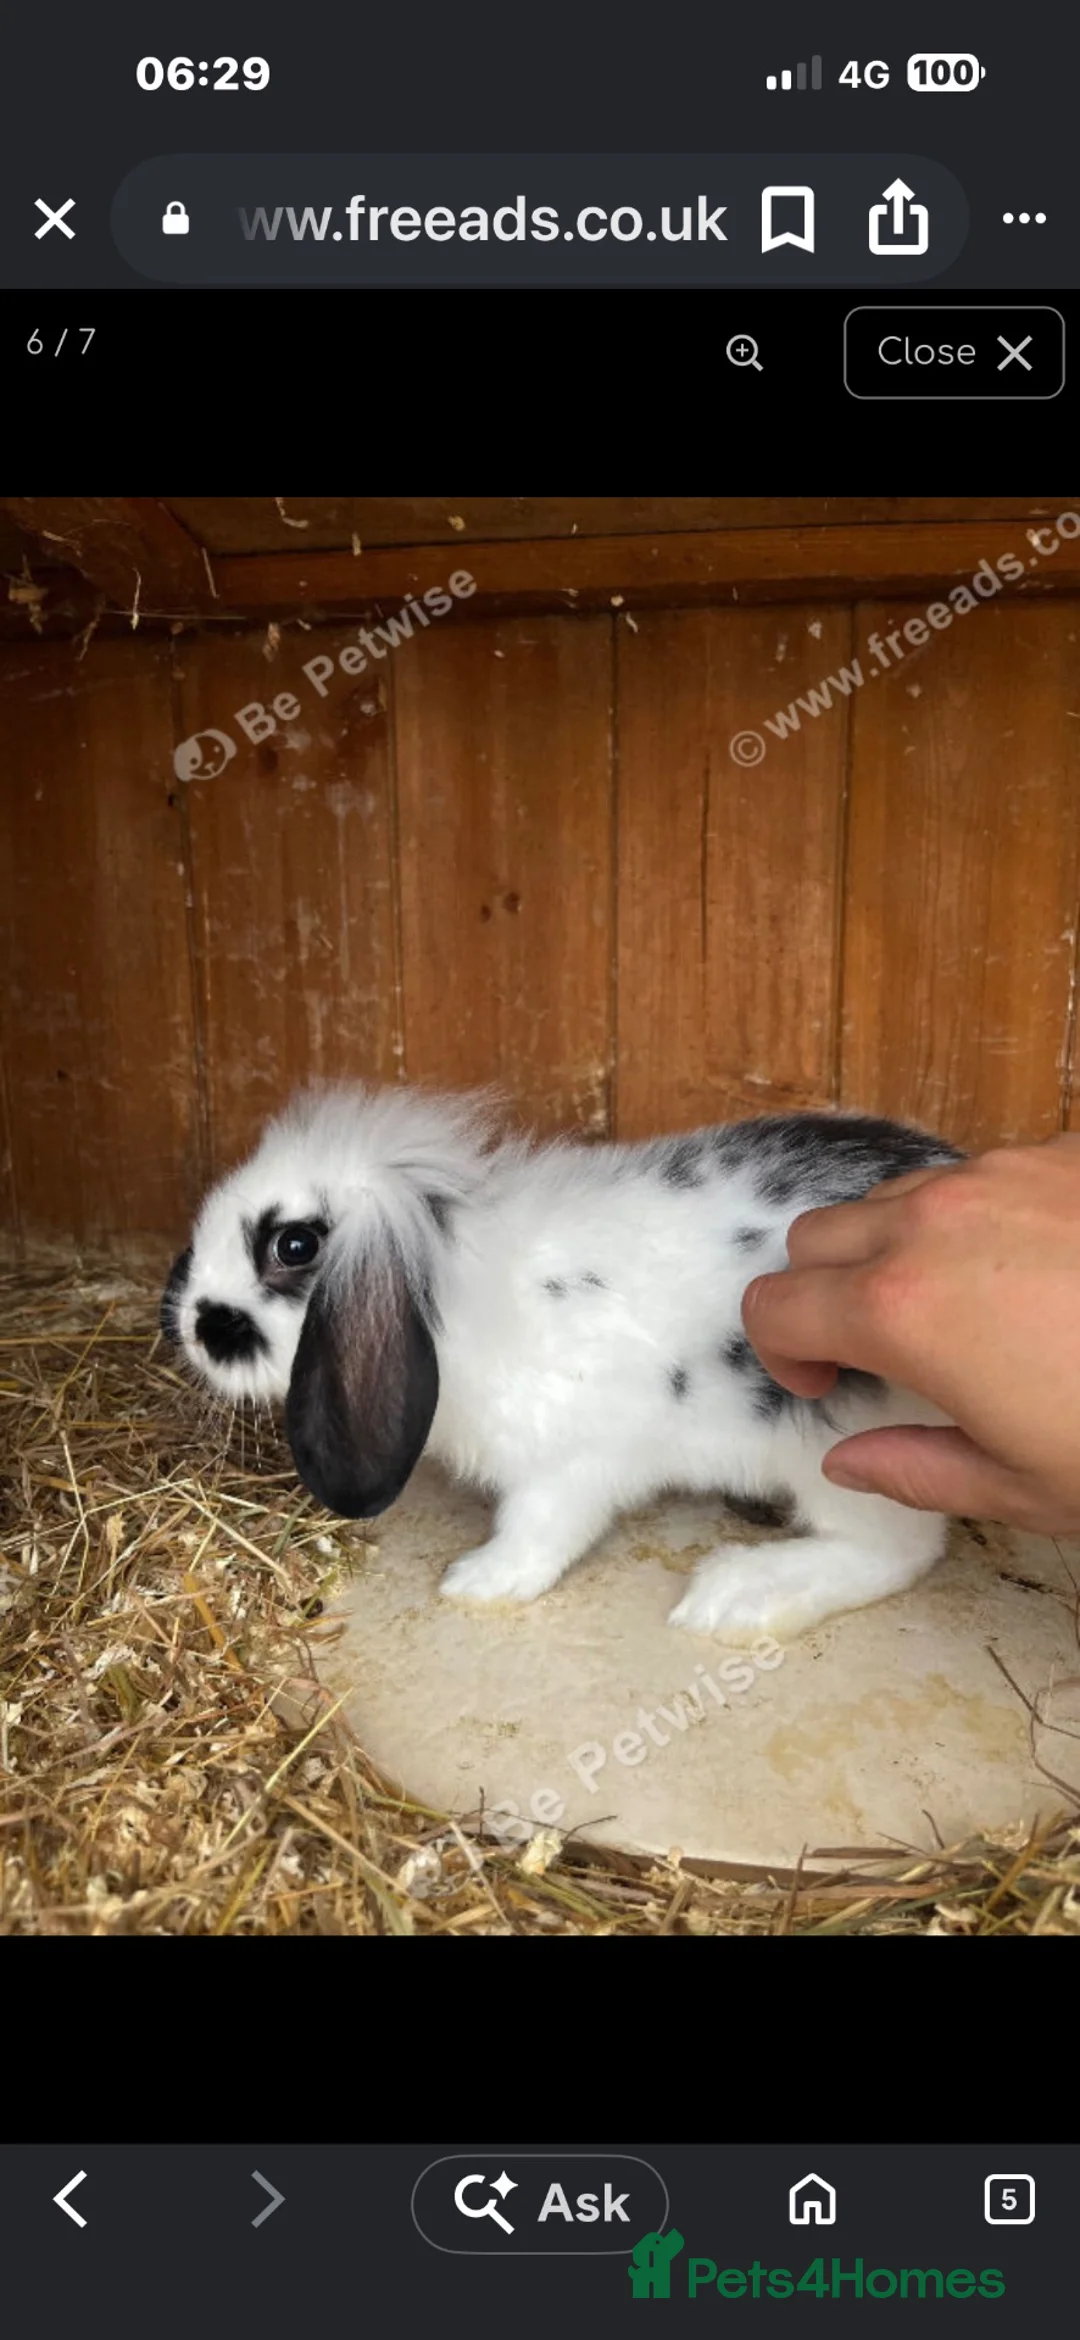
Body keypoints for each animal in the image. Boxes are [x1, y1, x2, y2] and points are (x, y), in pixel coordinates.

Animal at [161, 1084, 962, 1644]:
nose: (192, 1326)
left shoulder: (573, 1465)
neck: (450, 1286)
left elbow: (539, 1530)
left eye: (293, 1245)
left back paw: (737, 1594)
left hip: (838, 1455)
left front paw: (479, 1582)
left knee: (897, 1551)